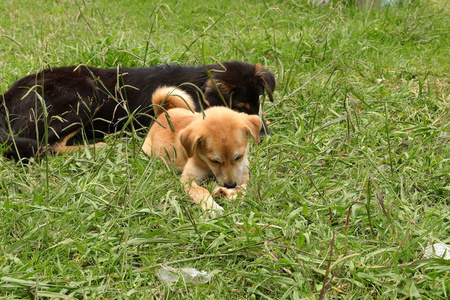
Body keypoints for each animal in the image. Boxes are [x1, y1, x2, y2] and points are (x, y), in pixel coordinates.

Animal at [0, 61, 276, 159]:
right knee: (50, 144)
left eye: (258, 106)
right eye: (239, 109)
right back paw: (102, 146)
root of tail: (6, 97)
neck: (198, 84)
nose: (264, 138)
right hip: (84, 94)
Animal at [144, 86, 262, 216]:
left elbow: (244, 187)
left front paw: (234, 195)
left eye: (239, 157)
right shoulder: (188, 179)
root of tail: (163, 112)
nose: (230, 185)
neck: (207, 166)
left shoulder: (244, 172)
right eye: (214, 161)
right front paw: (212, 207)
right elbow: (201, 191)